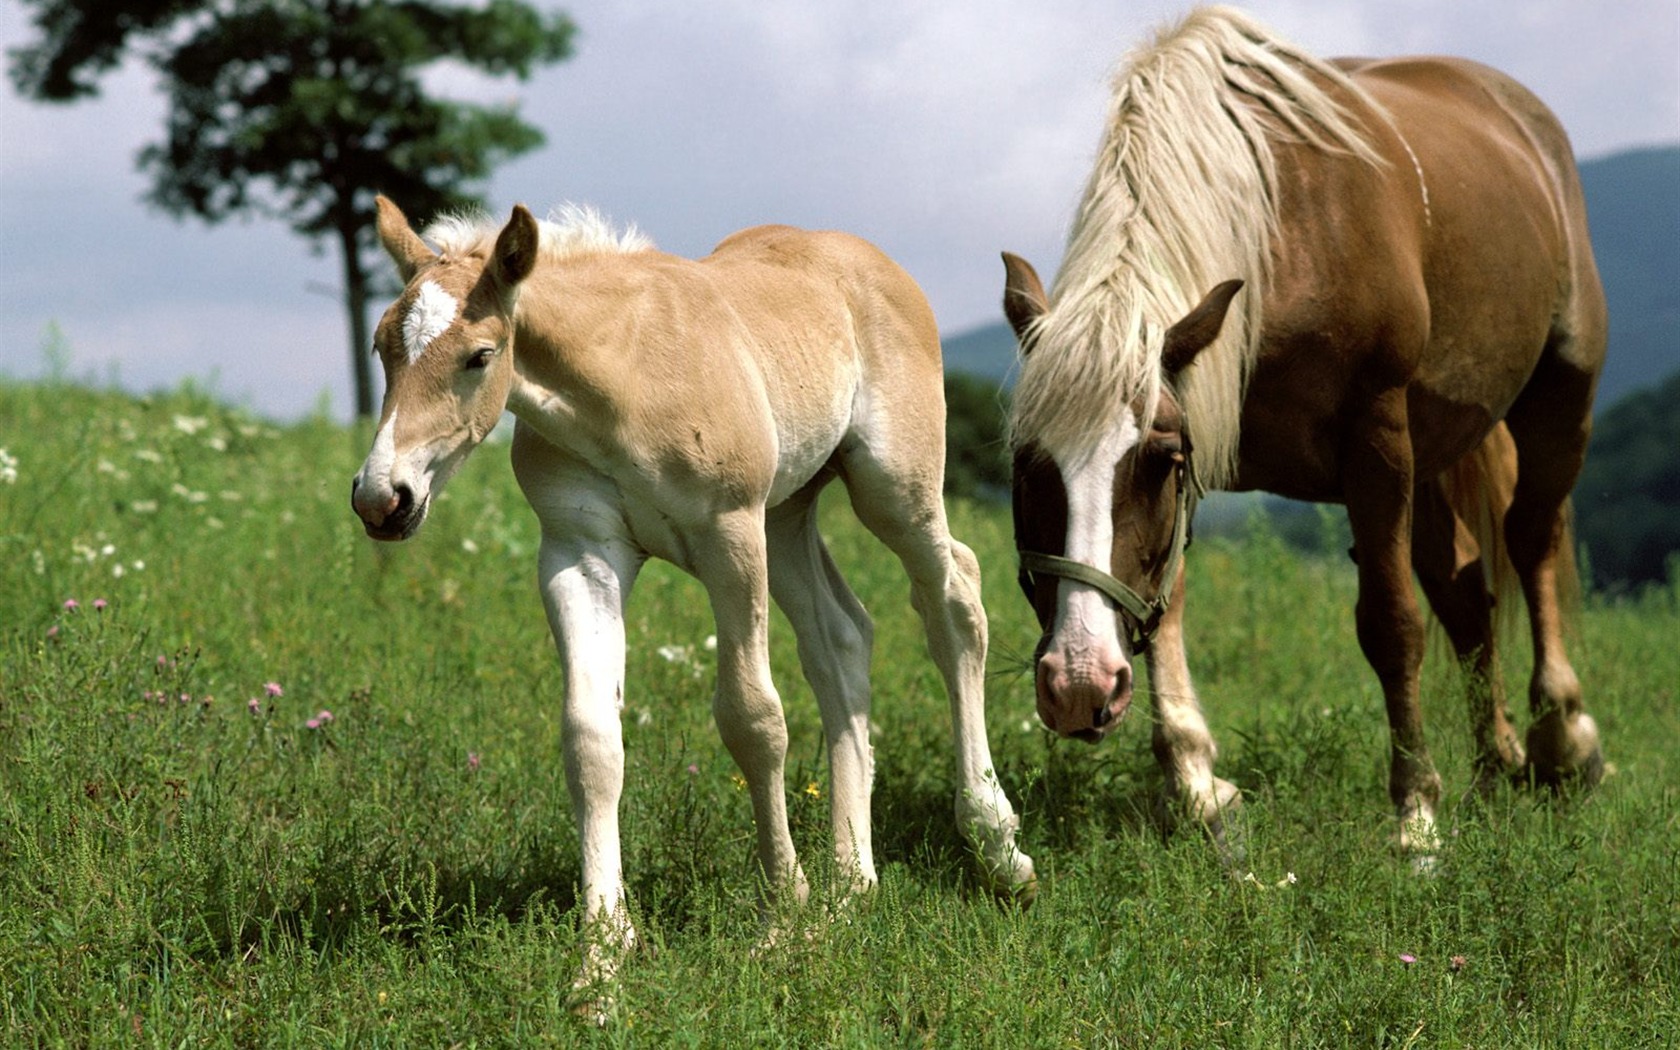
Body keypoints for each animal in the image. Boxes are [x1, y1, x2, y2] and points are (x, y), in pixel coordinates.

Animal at [1001, 8, 1606, 856]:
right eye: (1027, 465)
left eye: (1155, 459)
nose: (1078, 683)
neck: (1278, 240)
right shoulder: (1205, 432)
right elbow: (1165, 599)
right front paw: (1196, 782)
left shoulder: (1374, 438)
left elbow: (1390, 623)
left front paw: (1416, 814)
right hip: (1435, 451)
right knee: (1466, 592)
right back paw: (1496, 764)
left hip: (1559, 394)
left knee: (1531, 538)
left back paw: (1563, 739)